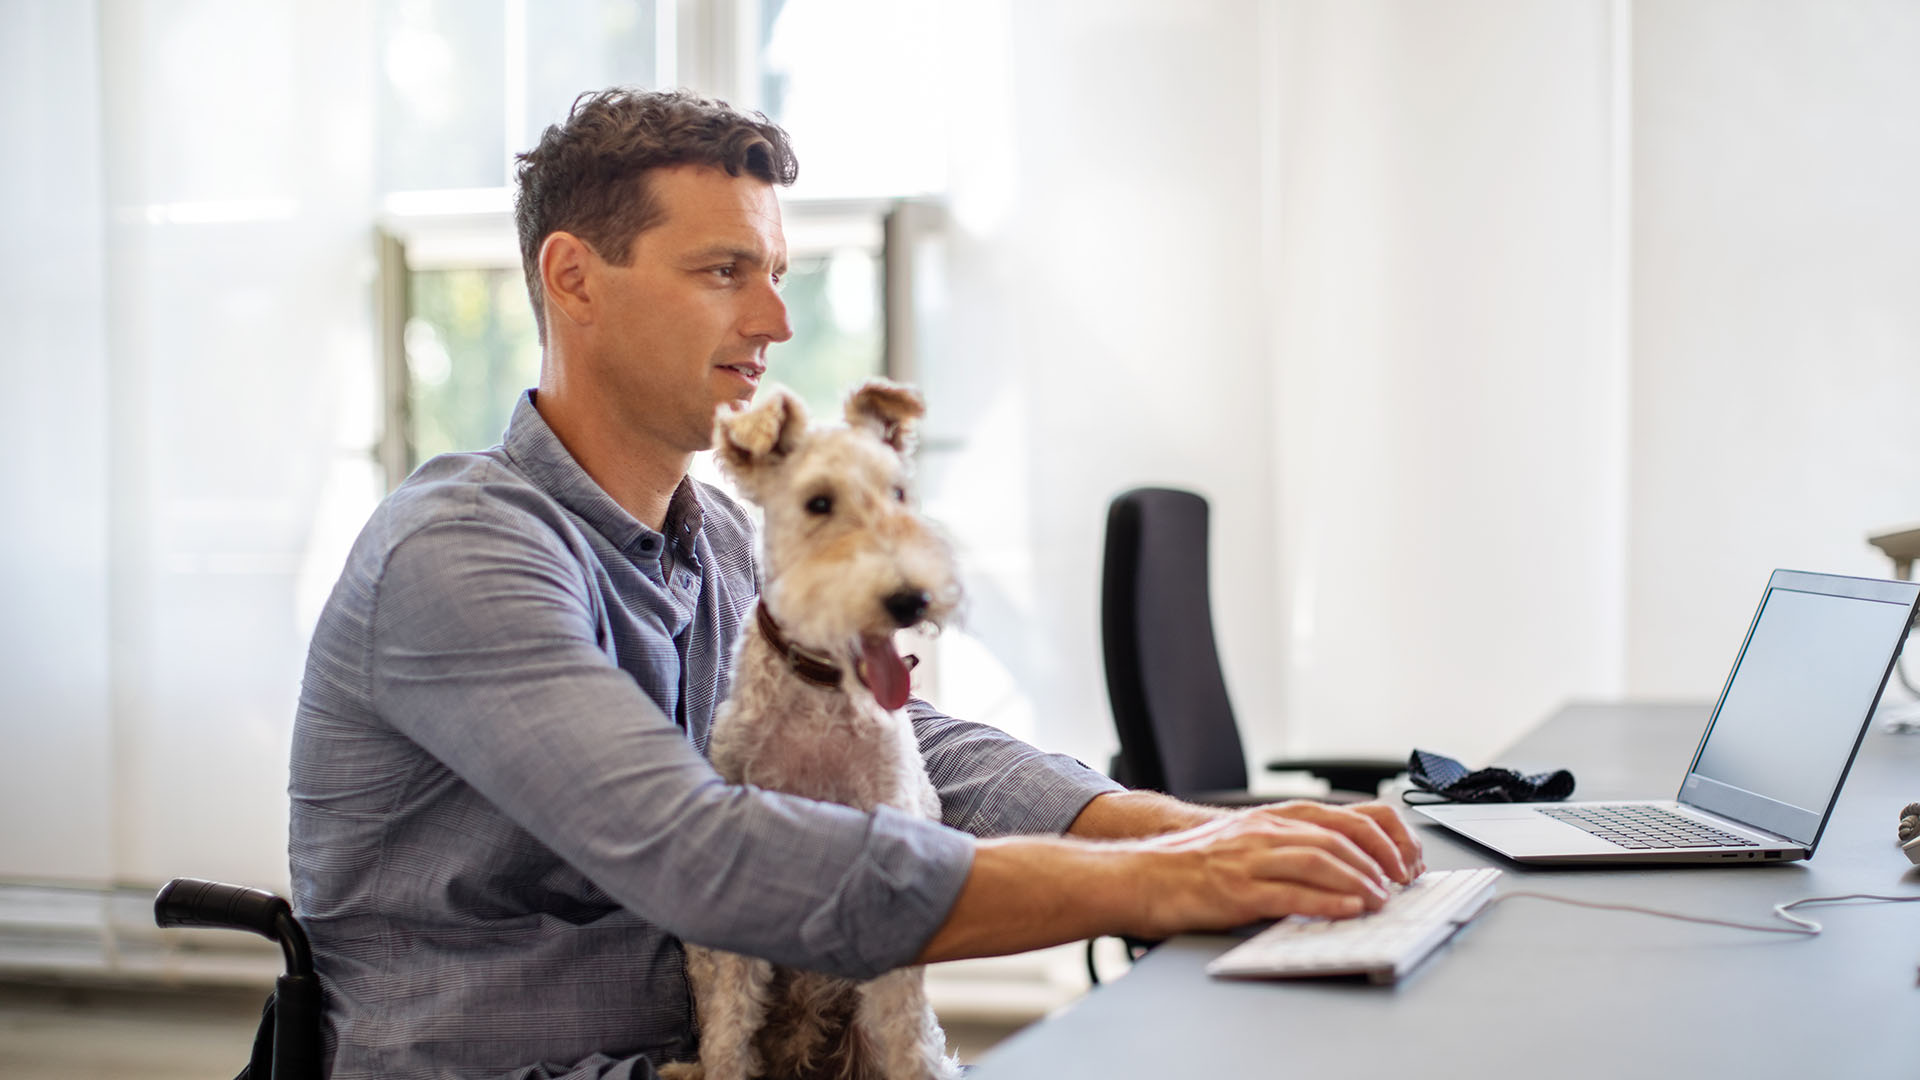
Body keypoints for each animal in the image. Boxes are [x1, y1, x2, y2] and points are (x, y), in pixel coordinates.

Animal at [664, 378, 967, 1076]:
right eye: (818, 502)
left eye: (899, 493)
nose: (909, 599)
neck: (818, 688)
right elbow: (728, 1031)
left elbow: (909, 1035)